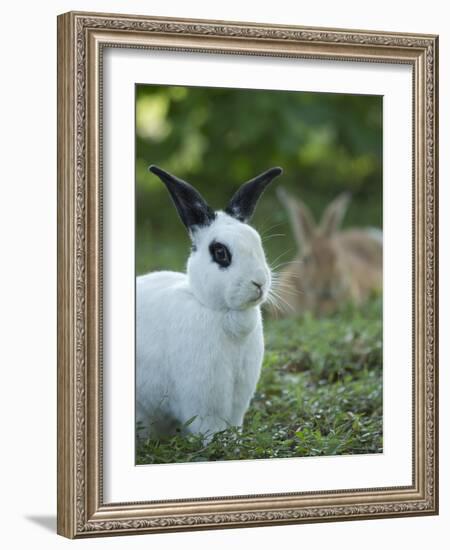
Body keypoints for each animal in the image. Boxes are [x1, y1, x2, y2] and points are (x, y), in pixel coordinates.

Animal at [135, 166, 282, 442]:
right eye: (221, 252)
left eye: (258, 243)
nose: (259, 282)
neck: (222, 312)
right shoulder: (204, 397)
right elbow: (209, 427)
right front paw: (219, 443)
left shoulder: (238, 398)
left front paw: (234, 440)